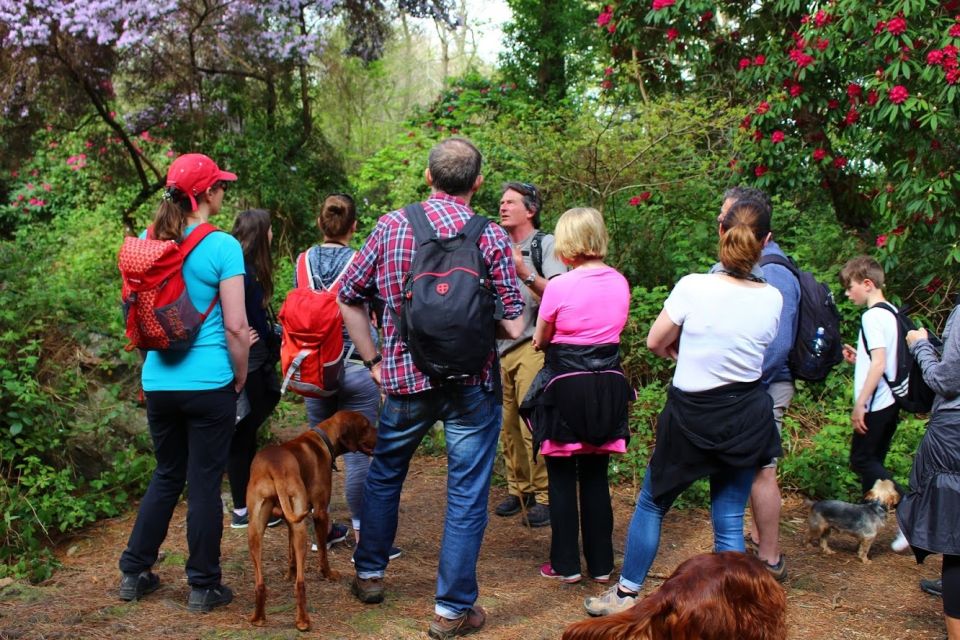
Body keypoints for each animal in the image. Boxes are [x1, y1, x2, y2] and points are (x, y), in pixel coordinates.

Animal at [246, 410, 376, 632]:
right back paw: (303, 621)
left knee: (260, 583)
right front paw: (327, 573)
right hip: (301, 529)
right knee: (301, 584)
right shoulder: (320, 513)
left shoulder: (289, 518)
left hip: (255, 530)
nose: (381, 436)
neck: (322, 439)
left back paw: (258, 617)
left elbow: (290, 553)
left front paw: (288, 574)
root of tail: (274, 467)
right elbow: (323, 550)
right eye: (366, 425)